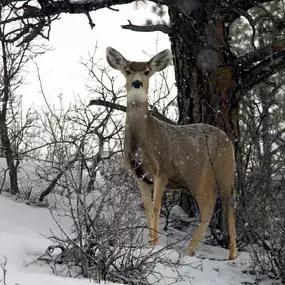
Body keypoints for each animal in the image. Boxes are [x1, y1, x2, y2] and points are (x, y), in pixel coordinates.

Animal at [105, 46, 236, 260]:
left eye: (147, 71)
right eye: (128, 70)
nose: (137, 83)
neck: (142, 142)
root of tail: (228, 140)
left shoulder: (163, 168)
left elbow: (157, 207)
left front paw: (156, 244)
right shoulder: (140, 176)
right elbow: (148, 209)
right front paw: (150, 243)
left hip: (222, 171)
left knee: (223, 205)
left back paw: (228, 254)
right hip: (203, 178)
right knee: (211, 205)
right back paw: (193, 250)